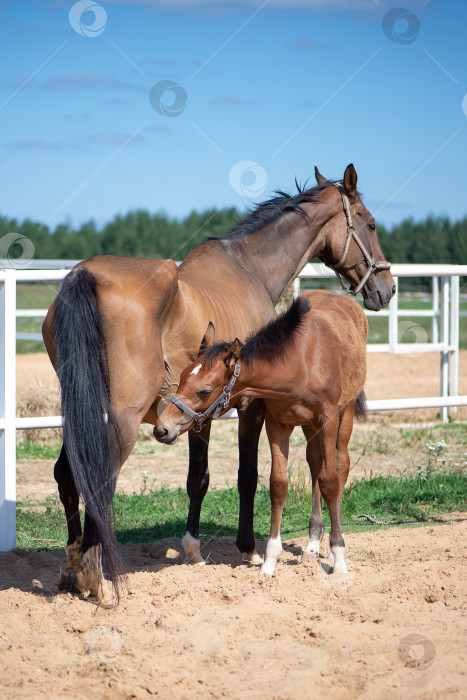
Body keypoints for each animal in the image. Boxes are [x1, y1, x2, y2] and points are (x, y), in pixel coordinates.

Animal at [154, 292, 370, 580]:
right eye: (182, 377)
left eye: (204, 390)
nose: (162, 428)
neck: (300, 361)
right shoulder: (277, 423)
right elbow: (278, 484)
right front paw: (270, 562)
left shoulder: (328, 419)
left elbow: (331, 481)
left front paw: (339, 559)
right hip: (309, 425)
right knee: (315, 463)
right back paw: (312, 546)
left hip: (343, 416)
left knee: (340, 466)